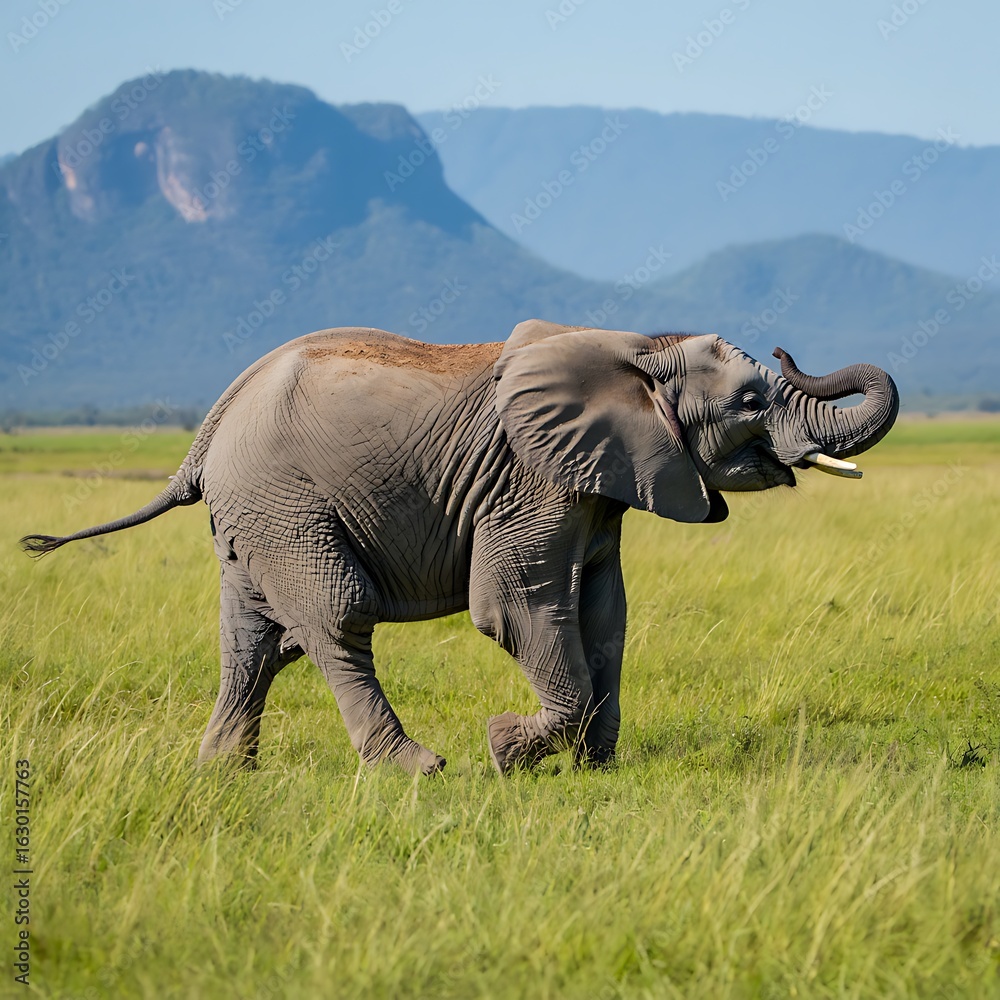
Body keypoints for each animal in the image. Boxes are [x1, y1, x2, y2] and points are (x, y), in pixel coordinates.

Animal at [21, 320, 898, 776]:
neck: (640, 343)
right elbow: (513, 606)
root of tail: (207, 428)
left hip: (257, 516)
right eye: (750, 401)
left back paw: (223, 773)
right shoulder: (531, 480)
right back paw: (415, 768)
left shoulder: (598, 482)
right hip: (284, 504)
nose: (788, 351)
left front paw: (598, 769)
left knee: (256, 640)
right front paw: (509, 750)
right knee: (335, 621)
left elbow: (605, 613)